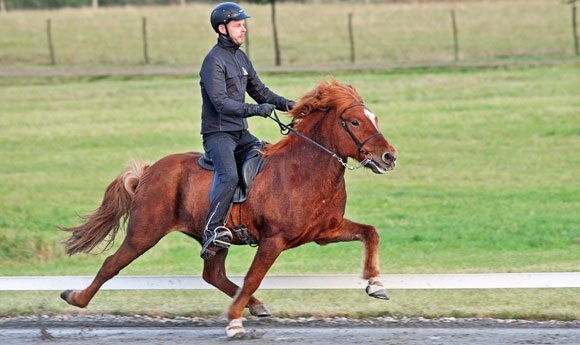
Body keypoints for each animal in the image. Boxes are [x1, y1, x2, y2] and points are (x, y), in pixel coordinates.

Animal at [60, 78, 398, 336]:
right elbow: (253, 277)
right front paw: (234, 321)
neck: (304, 169)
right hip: (145, 232)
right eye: (354, 121)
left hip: (213, 239)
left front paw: (375, 284)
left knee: (213, 275)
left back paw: (256, 305)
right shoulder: (273, 241)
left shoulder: (325, 232)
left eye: (375, 118)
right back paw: (75, 297)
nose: (389, 157)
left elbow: (371, 233)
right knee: (112, 264)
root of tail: (149, 171)